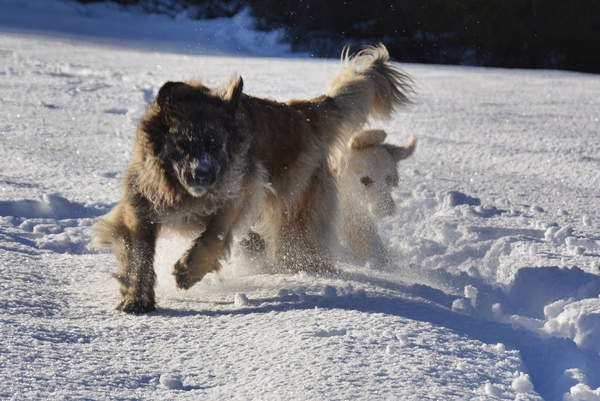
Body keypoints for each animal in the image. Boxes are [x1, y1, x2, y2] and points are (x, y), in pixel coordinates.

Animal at [95, 44, 412, 312]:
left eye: (215, 144)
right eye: (183, 145)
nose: (202, 174)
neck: (180, 191)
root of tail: (300, 111)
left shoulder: (241, 191)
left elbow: (214, 236)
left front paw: (189, 269)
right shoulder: (141, 205)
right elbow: (139, 253)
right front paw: (137, 297)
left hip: (293, 210)